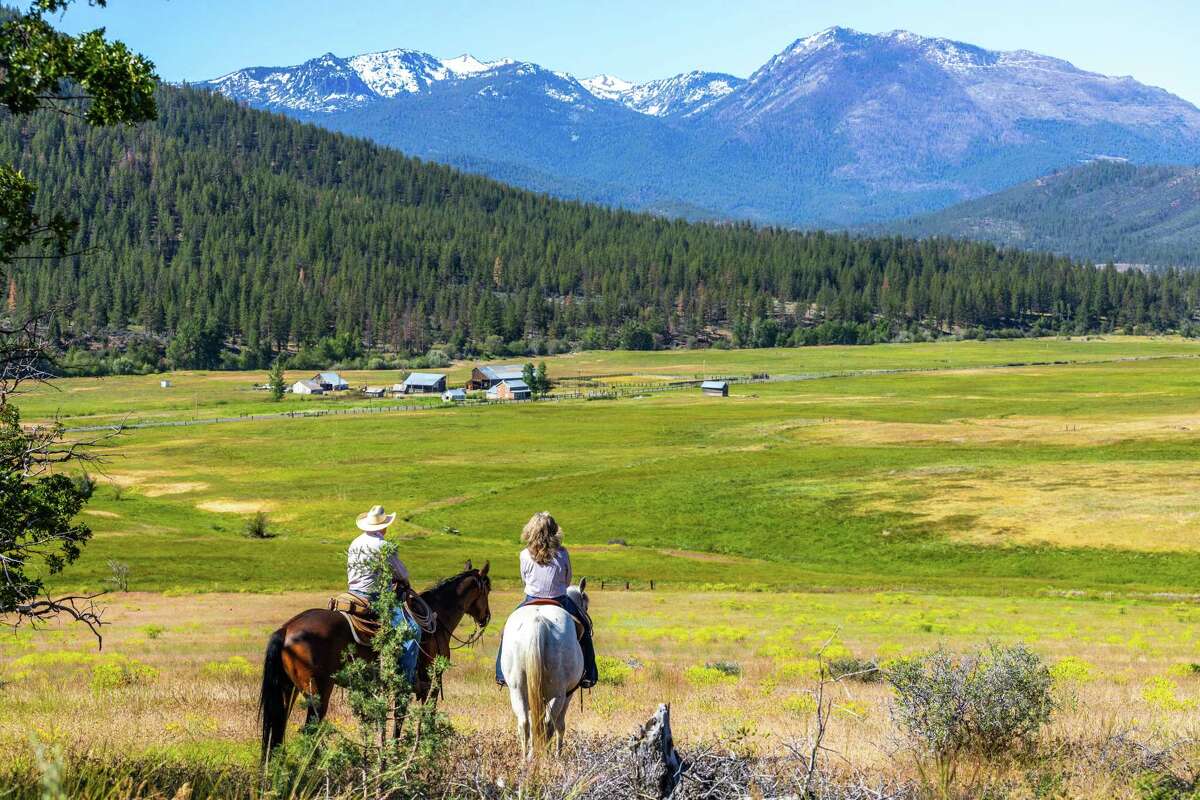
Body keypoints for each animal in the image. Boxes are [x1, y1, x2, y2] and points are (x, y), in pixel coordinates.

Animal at [259, 561, 492, 753]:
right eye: (488, 589)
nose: (486, 618)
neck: (438, 616)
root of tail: (286, 629)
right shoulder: (431, 682)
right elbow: (419, 718)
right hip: (319, 691)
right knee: (309, 730)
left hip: (288, 689)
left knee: (277, 731)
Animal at [499, 582, 588, 758]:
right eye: (585, 604)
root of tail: (537, 621)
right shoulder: (569, 693)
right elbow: (560, 724)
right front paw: (558, 754)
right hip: (558, 693)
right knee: (549, 723)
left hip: (517, 689)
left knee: (525, 723)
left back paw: (526, 758)